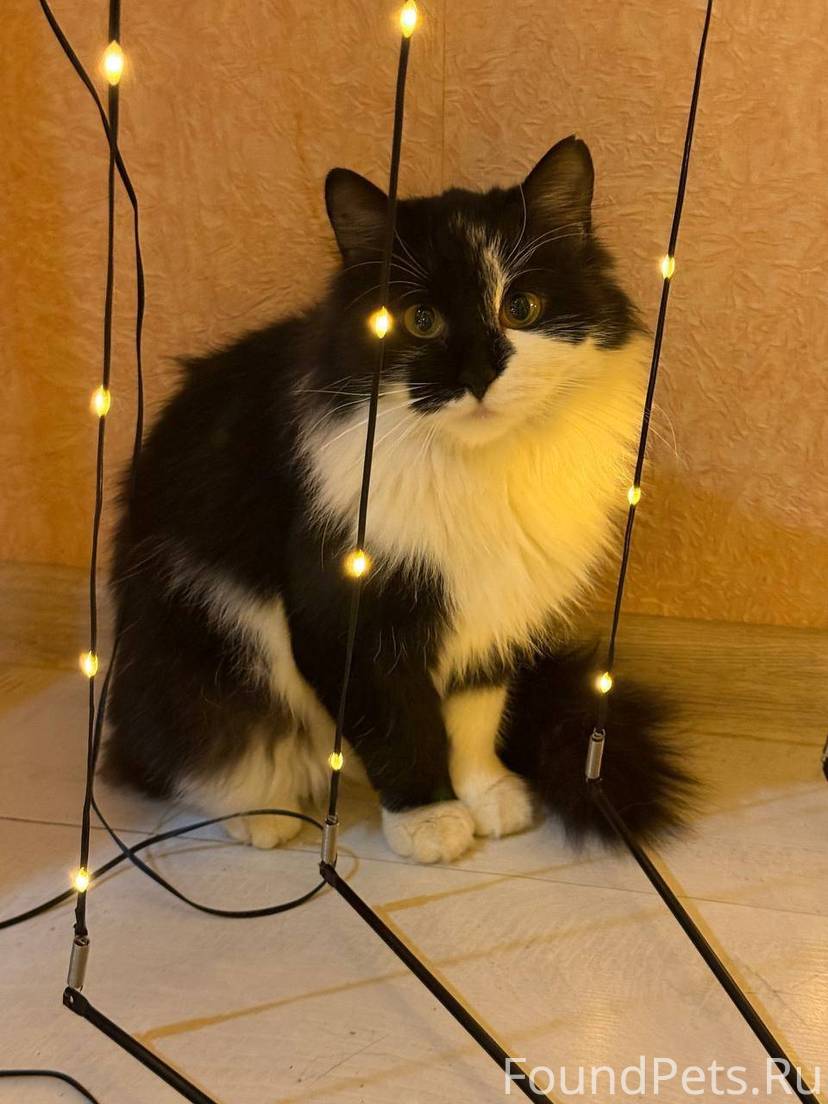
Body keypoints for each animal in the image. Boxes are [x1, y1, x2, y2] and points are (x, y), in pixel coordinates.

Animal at [103, 136, 693, 863]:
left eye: (521, 309)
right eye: (420, 321)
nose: (477, 374)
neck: (478, 473)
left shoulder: (496, 606)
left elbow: (474, 715)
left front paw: (486, 795)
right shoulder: (347, 613)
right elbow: (399, 724)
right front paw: (428, 820)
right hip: (205, 648)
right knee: (190, 758)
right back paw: (265, 815)